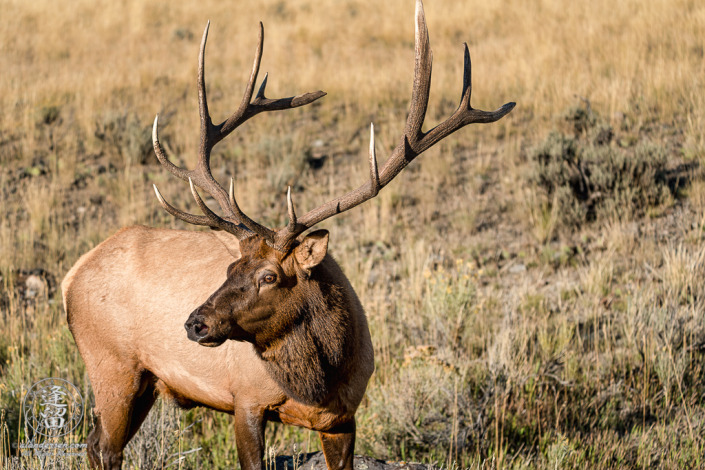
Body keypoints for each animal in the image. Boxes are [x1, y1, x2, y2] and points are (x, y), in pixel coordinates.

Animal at [62, 1, 512, 468]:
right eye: (231, 268)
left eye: (269, 276)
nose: (194, 322)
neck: (321, 385)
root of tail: (71, 276)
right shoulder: (245, 399)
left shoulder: (344, 418)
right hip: (112, 366)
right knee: (103, 447)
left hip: (141, 380)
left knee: (96, 444)